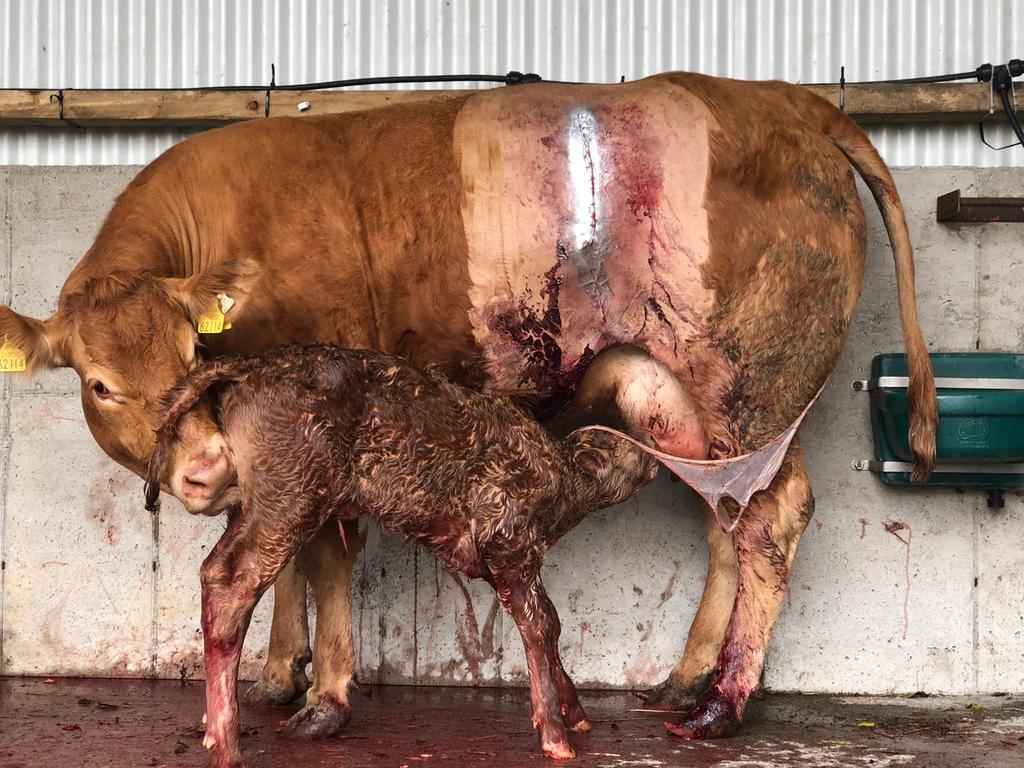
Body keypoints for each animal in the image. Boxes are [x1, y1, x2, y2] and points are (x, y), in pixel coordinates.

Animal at [0, 72, 936, 741]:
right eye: (100, 382)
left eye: (193, 353)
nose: (200, 468)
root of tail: (780, 97)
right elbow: (288, 559)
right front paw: (278, 671)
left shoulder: (325, 425)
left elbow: (323, 552)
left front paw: (324, 695)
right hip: (685, 409)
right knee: (726, 520)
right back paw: (683, 682)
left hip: (753, 384)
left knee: (771, 518)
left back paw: (724, 705)